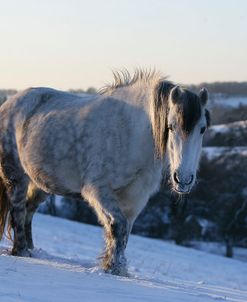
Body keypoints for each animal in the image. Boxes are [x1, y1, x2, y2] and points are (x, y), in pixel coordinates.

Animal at [0, 69, 209, 276]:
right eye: (170, 126)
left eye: (202, 129)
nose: (183, 180)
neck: (130, 133)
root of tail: (8, 104)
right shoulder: (98, 190)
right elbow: (117, 226)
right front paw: (113, 267)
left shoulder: (135, 199)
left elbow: (124, 233)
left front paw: (115, 267)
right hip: (16, 177)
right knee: (18, 211)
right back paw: (22, 251)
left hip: (40, 184)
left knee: (28, 211)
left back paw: (31, 249)